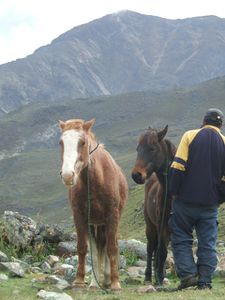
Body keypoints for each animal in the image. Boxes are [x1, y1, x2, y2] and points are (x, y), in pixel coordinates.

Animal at [59, 118, 127, 290]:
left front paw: (115, 283)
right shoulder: (79, 216)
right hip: (94, 224)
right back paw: (96, 283)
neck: (96, 179)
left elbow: (112, 247)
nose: (68, 176)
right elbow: (83, 248)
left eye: (82, 142)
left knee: (110, 244)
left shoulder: (112, 216)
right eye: (61, 142)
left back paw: (108, 279)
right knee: (97, 249)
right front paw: (79, 281)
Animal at [132, 125, 176, 284]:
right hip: (151, 227)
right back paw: (149, 276)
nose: (136, 175)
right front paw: (159, 278)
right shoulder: (163, 226)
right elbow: (161, 252)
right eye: (138, 149)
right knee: (151, 248)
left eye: (152, 148)